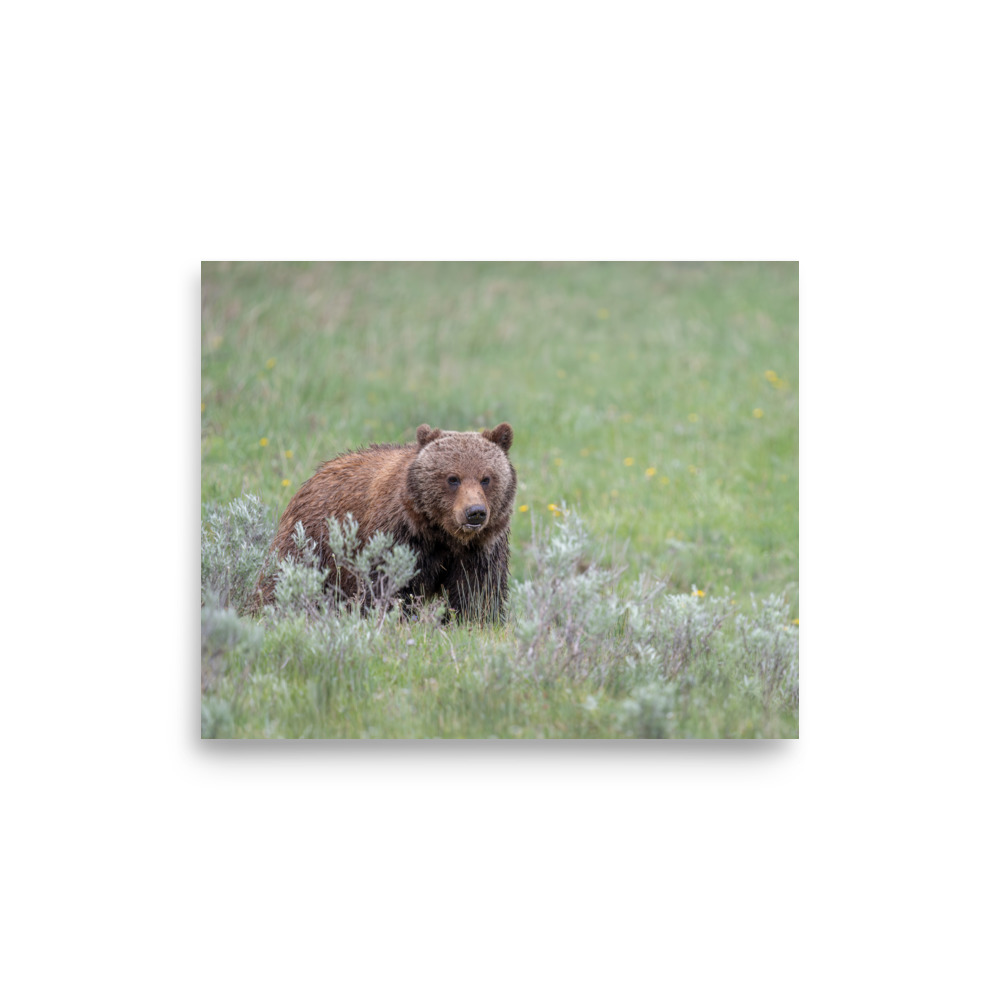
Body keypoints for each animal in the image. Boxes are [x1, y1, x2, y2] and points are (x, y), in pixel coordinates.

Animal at [254, 422, 517, 622]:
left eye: (486, 478)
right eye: (453, 478)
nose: (475, 512)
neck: (441, 533)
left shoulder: (480, 548)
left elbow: (477, 592)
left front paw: (475, 621)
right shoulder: (398, 536)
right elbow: (387, 586)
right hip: (312, 540)